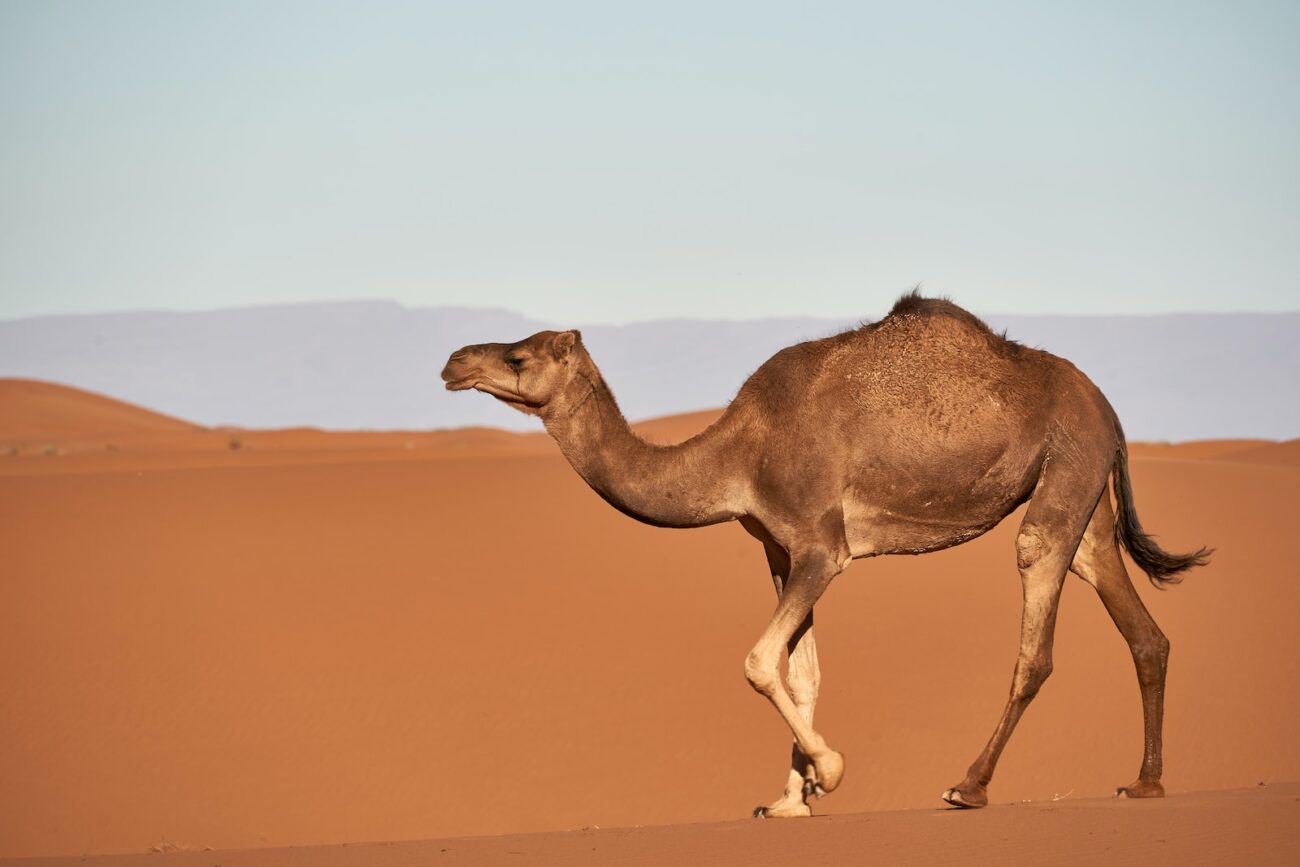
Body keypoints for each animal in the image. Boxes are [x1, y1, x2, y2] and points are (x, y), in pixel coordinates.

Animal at [440, 292, 1210, 818]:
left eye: (519, 357)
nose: (453, 361)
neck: (738, 453)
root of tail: (1108, 410)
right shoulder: (779, 551)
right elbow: (801, 670)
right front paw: (790, 798)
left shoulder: (821, 545)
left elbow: (758, 660)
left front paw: (829, 771)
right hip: (1085, 491)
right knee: (1136, 621)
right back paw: (1145, 781)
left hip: (1065, 469)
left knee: (1036, 627)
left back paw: (968, 785)